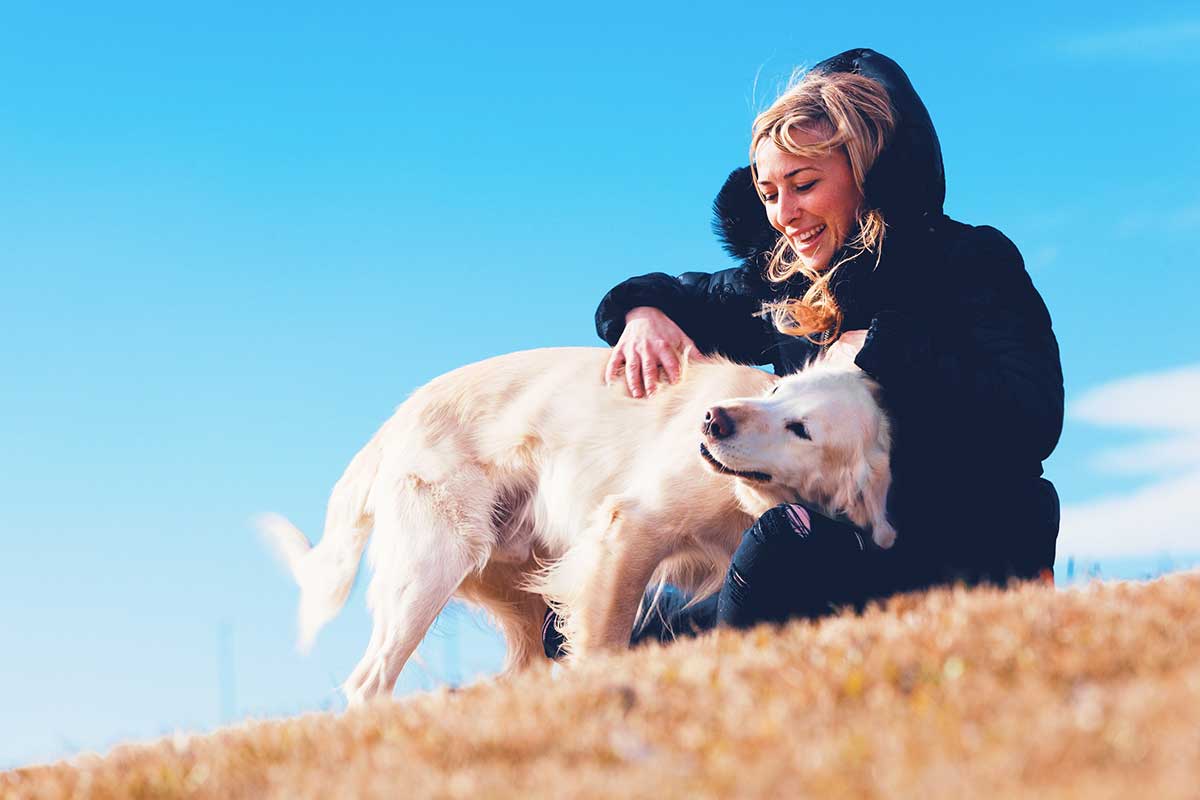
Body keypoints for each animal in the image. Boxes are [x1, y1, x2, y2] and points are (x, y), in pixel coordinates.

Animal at [260, 347, 892, 705]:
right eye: (776, 390)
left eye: (801, 429)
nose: (712, 420)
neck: (747, 501)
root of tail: (398, 417)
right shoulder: (628, 530)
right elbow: (605, 642)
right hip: (428, 571)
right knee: (369, 683)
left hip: (519, 596)